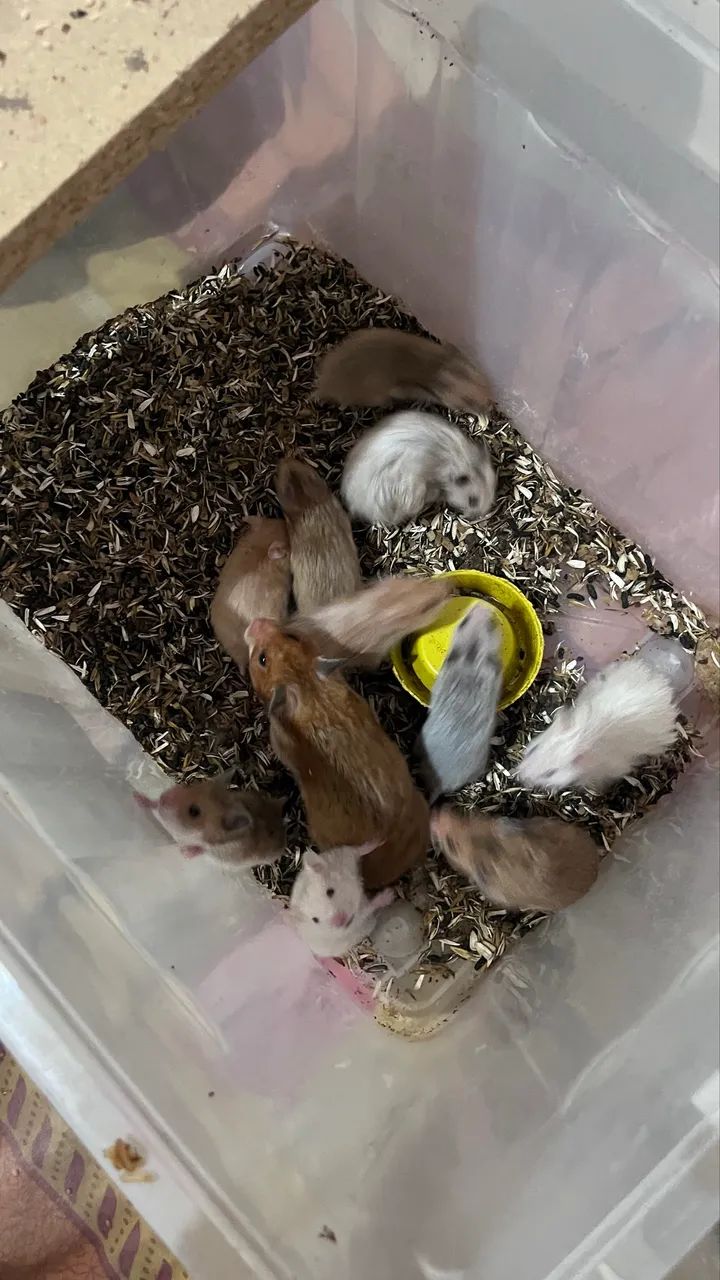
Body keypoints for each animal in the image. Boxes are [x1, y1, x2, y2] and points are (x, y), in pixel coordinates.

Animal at [135, 773, 285, 866]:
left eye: (194, 811)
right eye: (189, 785)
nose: (164, 798)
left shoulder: (218, 852)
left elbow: (202, 849)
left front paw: (184, 853)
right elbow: (153, 804)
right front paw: (136, 797)